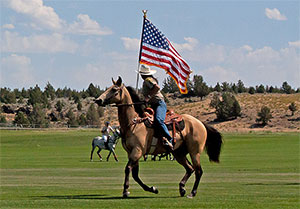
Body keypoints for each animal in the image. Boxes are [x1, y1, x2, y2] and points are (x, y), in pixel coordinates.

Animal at [95, 76, 223, 198]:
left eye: (114, 89)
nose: (98, 100)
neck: (134, 123)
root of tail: (200, 123)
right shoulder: (132, 153)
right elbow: (135, 174)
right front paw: (152, 189)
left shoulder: (137, 151)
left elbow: (128, 169)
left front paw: (126, 191)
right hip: (179, 153)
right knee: (190, 169)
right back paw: (182, 188)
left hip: (194, 152)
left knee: (198, 171)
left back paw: (192, 192)